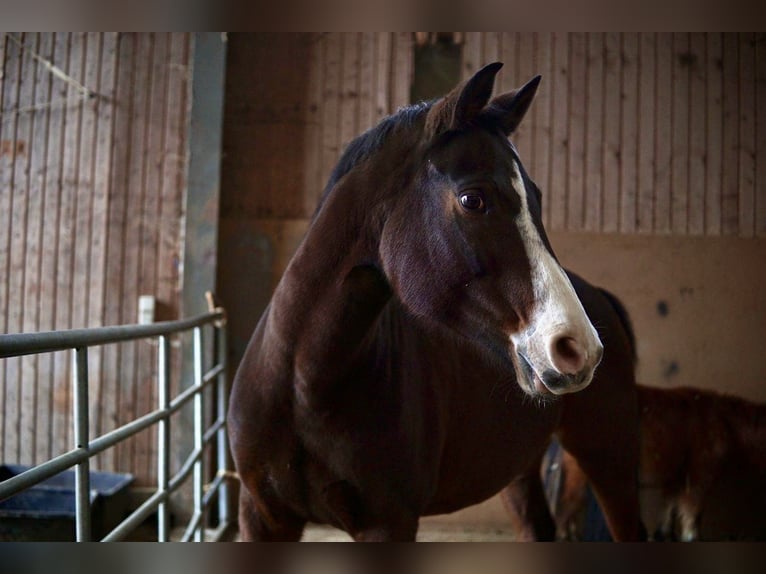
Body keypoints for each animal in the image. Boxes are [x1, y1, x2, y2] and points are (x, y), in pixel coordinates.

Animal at [226, 64, 640, 544]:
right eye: (473, 199)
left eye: (536, 198)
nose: (577, 347)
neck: (303, 383)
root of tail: (601, 298)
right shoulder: (262, 517)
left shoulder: (388, 524)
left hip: (609, 459)